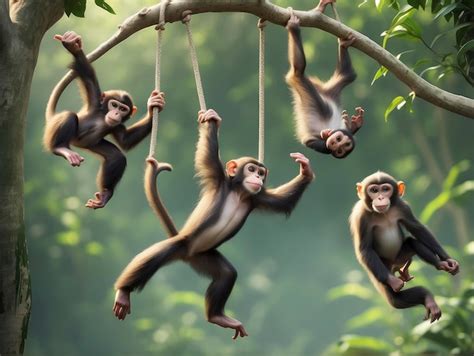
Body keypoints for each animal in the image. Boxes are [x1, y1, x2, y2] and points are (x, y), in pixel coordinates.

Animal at [44, 31, 167, 209]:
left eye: (123, 109)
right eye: (114, 104)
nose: (115, 113)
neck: (103, 116)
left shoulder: (117, 126)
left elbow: (125, 140)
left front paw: (153, 105)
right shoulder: (95, 100)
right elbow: (86, 71)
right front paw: (73, 46)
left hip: (92, 144)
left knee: (117, 157)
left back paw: (106, 194)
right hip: (55, 132)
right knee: (69, 117)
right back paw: (61, 148)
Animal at [113, 108, 314, 340]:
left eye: (261, 173)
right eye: (251, 169)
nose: (257, 177)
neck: (238, 191)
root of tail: (187, 255)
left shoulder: (258, 198)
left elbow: (282, 202)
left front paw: (305, 171)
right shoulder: (218, 176)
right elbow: (208, 151)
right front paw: (212, 122)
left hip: (203, 258)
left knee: (227, 274)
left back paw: (217, 316)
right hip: (183, 243)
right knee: (156, 255)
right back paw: (124, 292)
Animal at [284, 2, 364, 159]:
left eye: (340, 150)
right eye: (339, 140)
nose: (334, 143)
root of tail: (325, 91)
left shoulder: (320, 145)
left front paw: (353, 125)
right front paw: (355, 124)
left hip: (322, 89)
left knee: (302, 70)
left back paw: (294, 28)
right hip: (331, 91)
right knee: (346, 77)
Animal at [348, 171, 460, 322]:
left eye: (385, 189)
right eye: (374, 190)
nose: (380, 197)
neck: (383, 213)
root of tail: (395, 266)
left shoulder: (403, 207)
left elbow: (417, 228)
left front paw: (448, 260)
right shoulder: (360, 217)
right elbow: (365, 249)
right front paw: (394, 282)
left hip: (401, 257)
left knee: (413, 242)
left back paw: (439, 267)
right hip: (380, 269)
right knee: (395, 300)